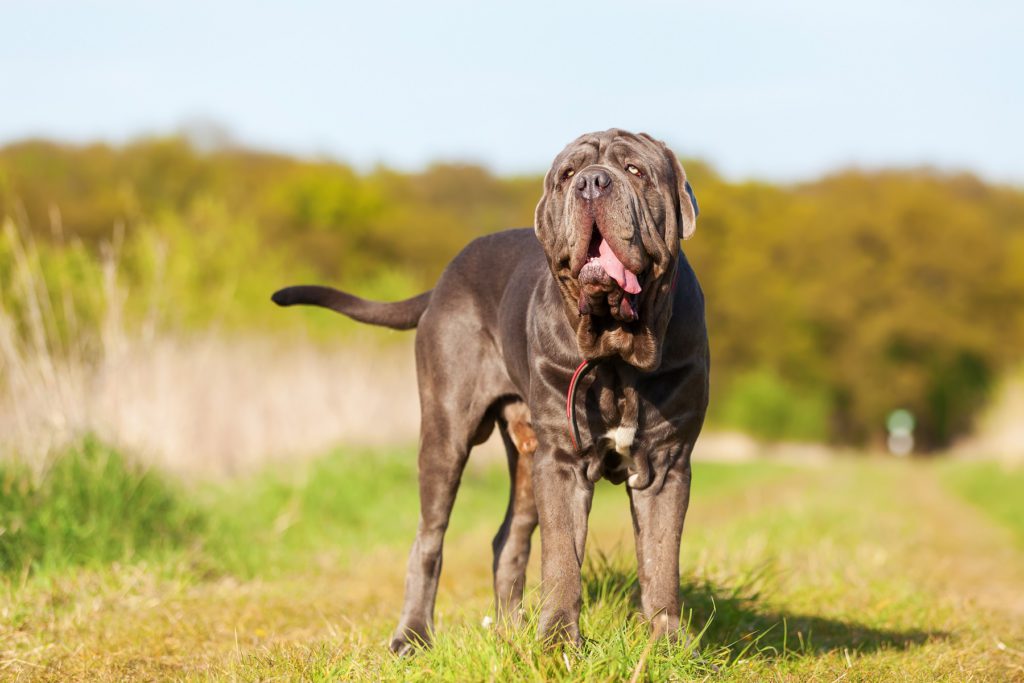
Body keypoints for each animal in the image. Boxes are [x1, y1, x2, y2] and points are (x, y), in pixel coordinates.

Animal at [272, 127, 708, 651]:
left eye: (635, 170)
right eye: (567, 175)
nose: (592, 183)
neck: (617, 351)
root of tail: (442, 281)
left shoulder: (666, 463)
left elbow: (661, 562)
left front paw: (666, 644)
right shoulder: (561, 463)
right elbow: (562, 559)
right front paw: (558, 644)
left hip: (525, 458)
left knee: (509, 538)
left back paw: (509, 631)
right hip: (447, 434)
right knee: (429, 537)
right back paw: (412, 636)